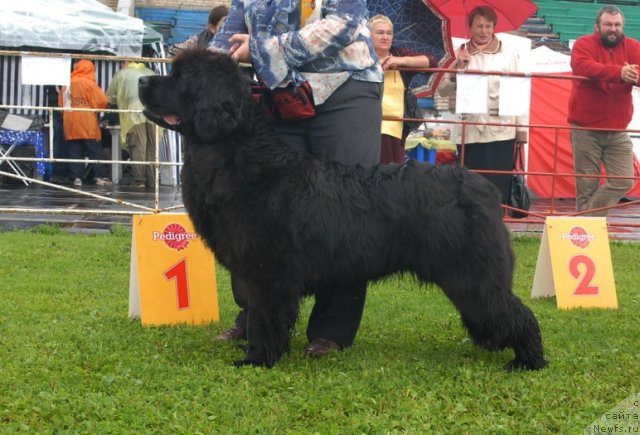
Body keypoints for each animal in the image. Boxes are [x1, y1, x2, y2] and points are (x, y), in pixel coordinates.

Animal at [139, 50, 544, 372]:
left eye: (179, 78)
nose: (142, 78)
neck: (237, 153)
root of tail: (483, 186)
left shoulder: (269, 273)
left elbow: (265, 318)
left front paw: (257, 359)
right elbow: (257, 314)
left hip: (472, 275)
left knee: (517, 313)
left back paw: (529, 361)